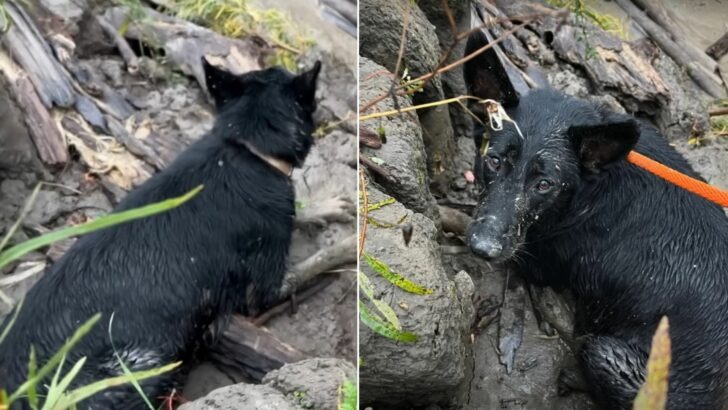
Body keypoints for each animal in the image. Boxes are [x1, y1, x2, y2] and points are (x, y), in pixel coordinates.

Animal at [466, 30, 728, 408]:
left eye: (544, 184)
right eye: (494, 161)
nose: (482, 247)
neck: (591, 187)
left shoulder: (543, 258)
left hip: (608, 356)